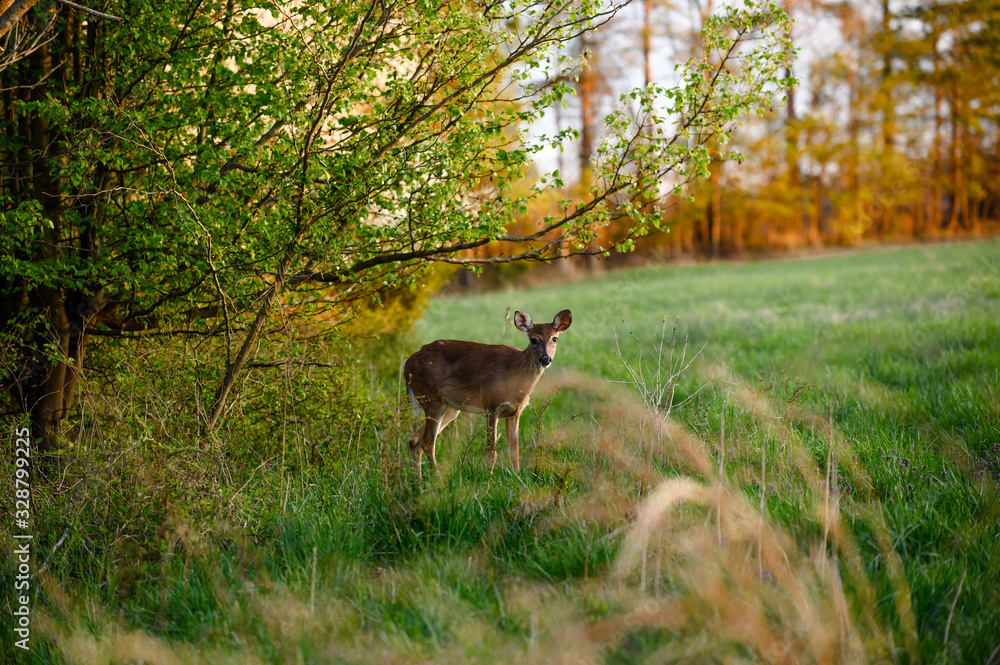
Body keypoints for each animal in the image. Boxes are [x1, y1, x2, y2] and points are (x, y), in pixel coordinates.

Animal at [400, 308, 572, 474]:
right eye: (533, 339)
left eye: (554, 338)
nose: (545, 359)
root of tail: (407, 362)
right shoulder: (491, 405)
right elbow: (492, 451)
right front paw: (488, 478)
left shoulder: (515, 412)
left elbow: (514, 451)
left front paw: (517, 477)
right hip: (432, 400)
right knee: (428, 443)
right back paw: (438, 479)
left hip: (450, 407)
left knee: (414, 441)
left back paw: (419, 479)